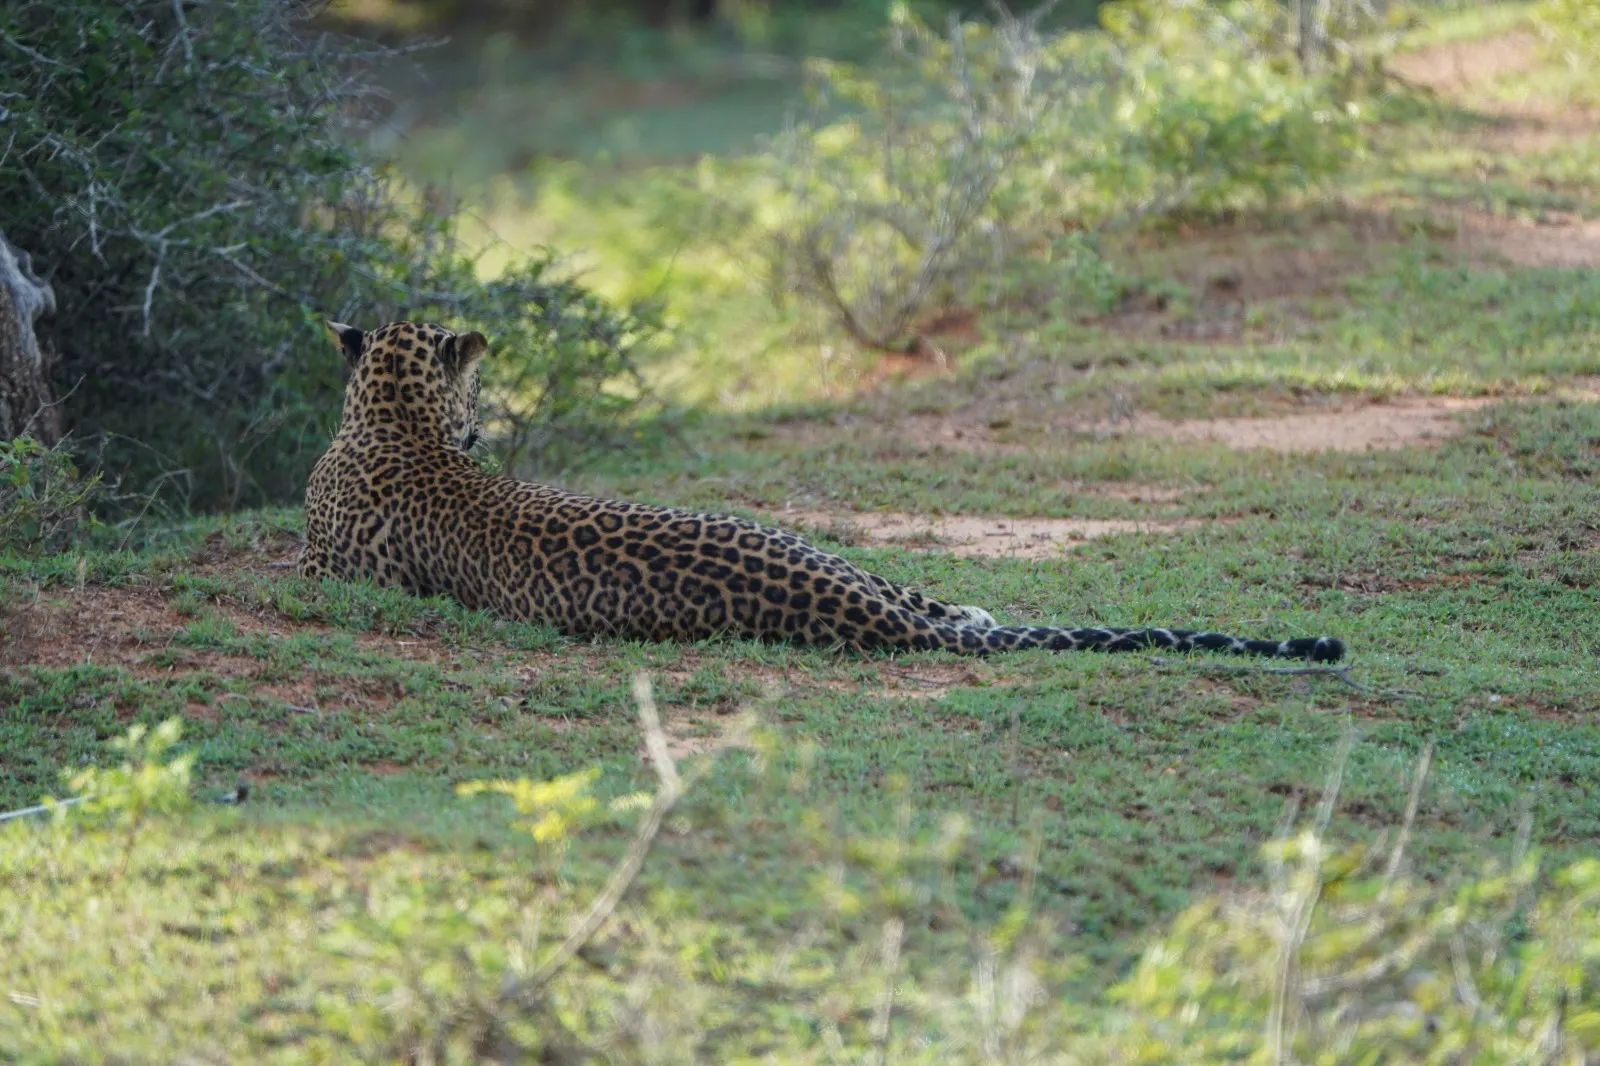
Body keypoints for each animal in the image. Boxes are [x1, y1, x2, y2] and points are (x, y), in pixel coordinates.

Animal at [298, 320, 1344, 663]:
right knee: (954, 603)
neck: (397, 417)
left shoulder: (319, 565)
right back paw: (973, 609)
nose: (484, 419)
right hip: (854, 561)